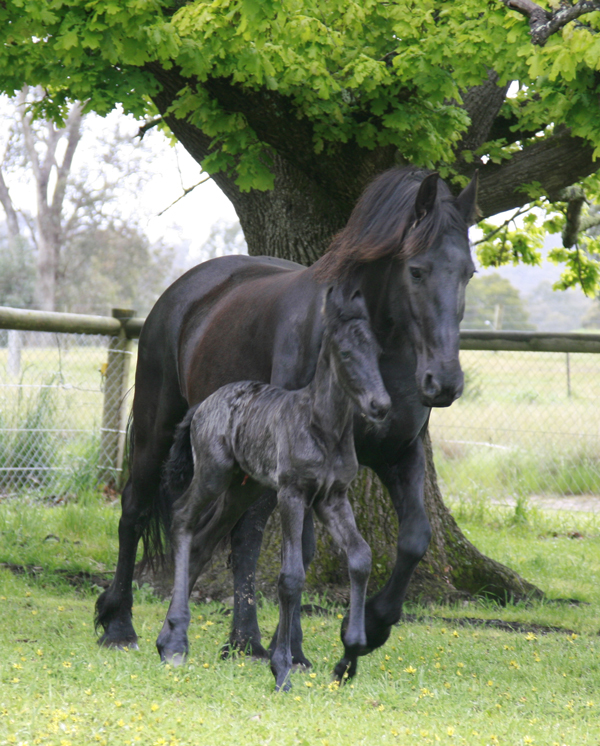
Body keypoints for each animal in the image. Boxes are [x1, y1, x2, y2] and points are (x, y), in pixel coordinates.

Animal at [156, 284, 391, 690]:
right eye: (346, 353)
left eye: (377, 352)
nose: (381, 405)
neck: (324, 429)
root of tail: (202, 405)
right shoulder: (292, 494)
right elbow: (291, 576)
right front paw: (282, 667)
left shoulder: (332, 498)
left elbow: (361, 558)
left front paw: (349, 658)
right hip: (214, 474)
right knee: (183, 518)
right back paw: (175, 641)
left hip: (242, 489)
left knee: (203, 540)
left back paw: (167, 640)